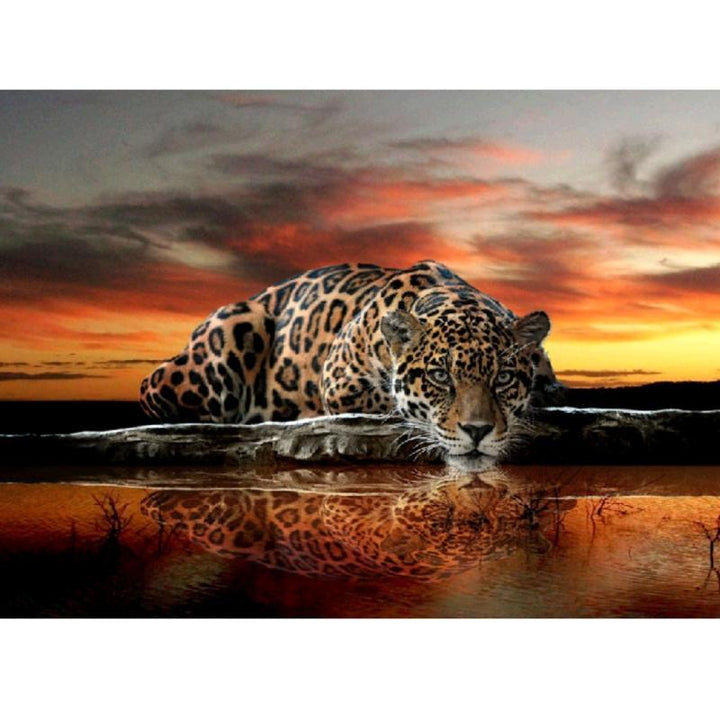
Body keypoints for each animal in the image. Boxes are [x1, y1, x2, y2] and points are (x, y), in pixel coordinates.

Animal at [140, 260, 557, 465]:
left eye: (503, 378)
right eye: (440, 376)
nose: (477, 431)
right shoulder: (339, 380)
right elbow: (387, 401)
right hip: (234, 328)